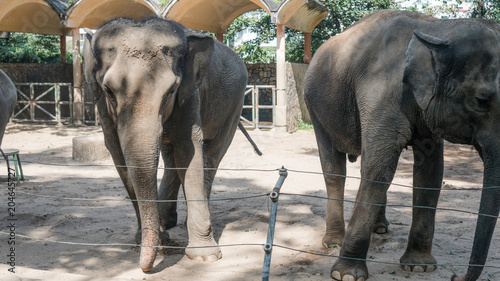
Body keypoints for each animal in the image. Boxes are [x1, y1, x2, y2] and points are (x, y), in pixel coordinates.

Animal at [82, 17, 258, 272]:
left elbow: (189, 150)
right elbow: (119, 156)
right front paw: (150, 237)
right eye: (108, 91)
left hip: (235, 102)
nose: (145, 268)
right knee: (170, 156)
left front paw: (205, 257)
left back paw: (183, 223)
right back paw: (166, 221)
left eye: (171, 90)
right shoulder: (102, 108)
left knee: (212, 154)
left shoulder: (190, 94)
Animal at [302, 9, 500, 280]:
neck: (436, 28)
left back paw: (380, 228)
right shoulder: (379, 92)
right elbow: (380, 168)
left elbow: (430, 172)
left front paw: (419, 266)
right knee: (335, 170)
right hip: (315, 107)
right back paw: (333, 242)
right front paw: (347, 275)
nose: (455, 276)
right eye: (481, 100)